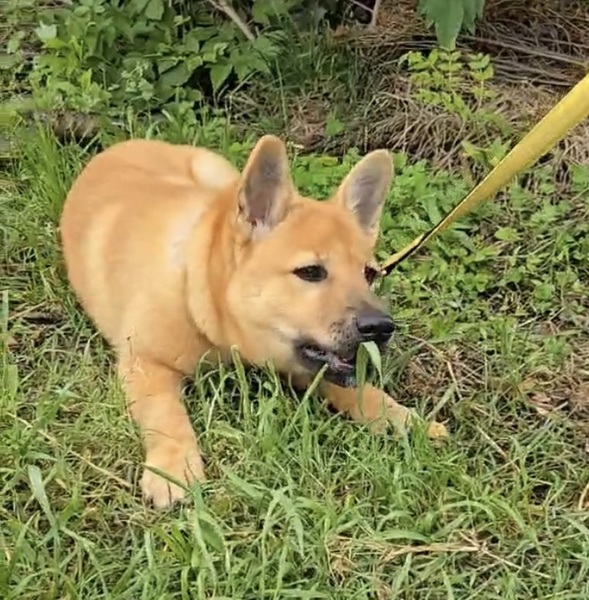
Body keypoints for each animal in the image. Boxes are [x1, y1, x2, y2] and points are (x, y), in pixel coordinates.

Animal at [59, 134, 446, 508]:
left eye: (370, 274)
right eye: (310, 272)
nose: (381, 328)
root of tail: (124, 145)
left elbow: (356, 389)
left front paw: (400, 417)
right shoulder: (143, 361)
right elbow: (165, 413)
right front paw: (173, 466)